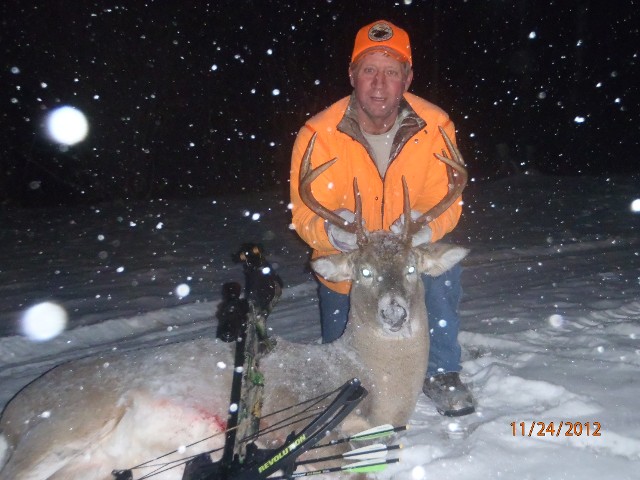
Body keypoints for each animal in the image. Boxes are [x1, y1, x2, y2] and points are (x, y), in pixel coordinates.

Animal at [0, 127, 468, 480]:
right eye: (364, 273)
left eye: (412, 268)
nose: (394, 313)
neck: (371, 379)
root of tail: (12, 410)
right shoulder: (299, 424)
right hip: (61, 425)